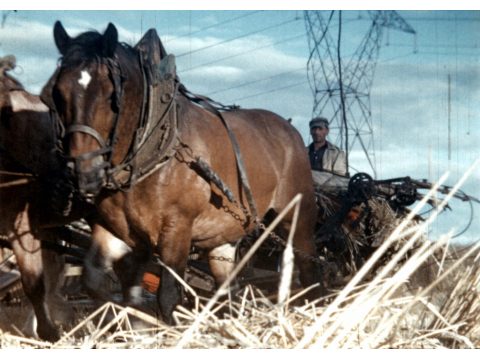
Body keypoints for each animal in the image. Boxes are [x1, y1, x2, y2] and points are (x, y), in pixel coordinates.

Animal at [45, 21, 322, 320]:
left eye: (111, 95)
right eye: (57, 93)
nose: (83, 173)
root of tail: (290, 130)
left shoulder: (177, 230)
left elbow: (168, 297)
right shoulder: (114, 230)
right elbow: (96, 280)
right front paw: (131, 315)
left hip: (297, 218)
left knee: (309, 269)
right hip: (225, 234)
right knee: (228, 288)